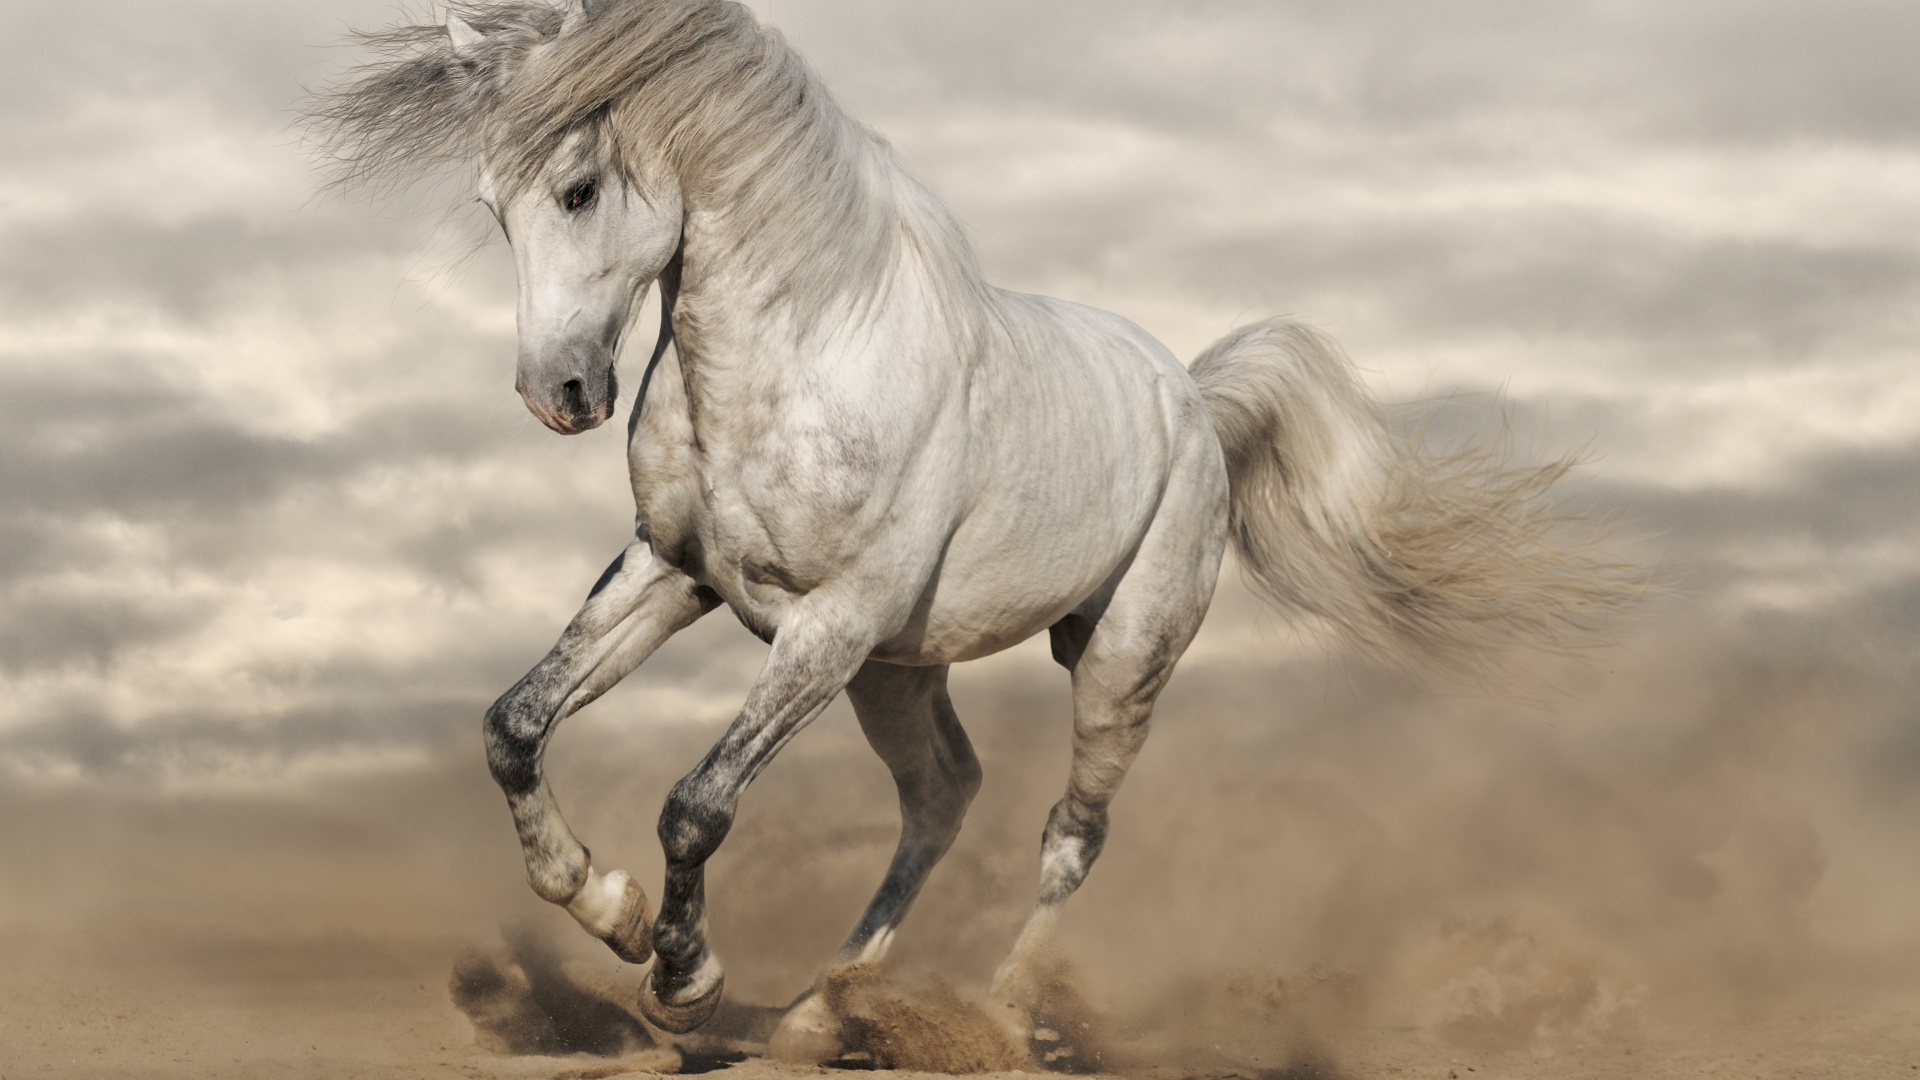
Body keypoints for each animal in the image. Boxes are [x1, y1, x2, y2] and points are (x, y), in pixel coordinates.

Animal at [308, 0, 1641, 1057]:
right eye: (491, 206)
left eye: (578, 189)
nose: (559, 394)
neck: (797, 357)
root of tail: (1194, 401)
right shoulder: (676, 577)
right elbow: (515, 726)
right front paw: (610, 908)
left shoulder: (827, 627)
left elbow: (698, 803)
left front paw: (684, 979)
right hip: (900, 674)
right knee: (945, 795)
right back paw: (821, 1012)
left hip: (1112, 663)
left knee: (1067, 835)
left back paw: (997, 1016)